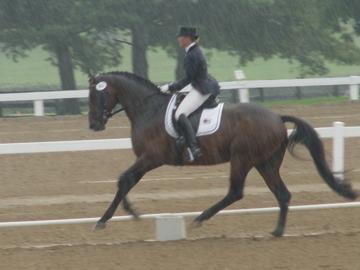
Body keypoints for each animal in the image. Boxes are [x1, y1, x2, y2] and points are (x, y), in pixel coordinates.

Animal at [88, 71, 358, 236]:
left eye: (96, 95)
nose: (94, 125)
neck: (148, 108)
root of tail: (277, 117)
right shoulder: (146, 159)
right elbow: (126, 180)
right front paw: (126, 212)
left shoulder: (151, 158)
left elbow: (125, 179)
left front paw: (108, 218)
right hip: (266, 162)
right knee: (282, 193)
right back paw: (277, 232)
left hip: (242, 159)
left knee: (236, 191)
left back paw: (200, 218)